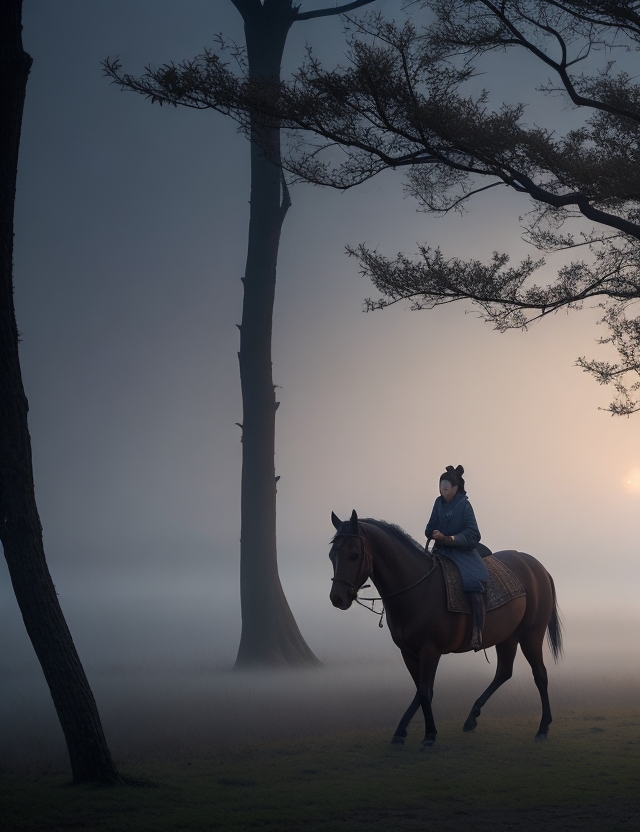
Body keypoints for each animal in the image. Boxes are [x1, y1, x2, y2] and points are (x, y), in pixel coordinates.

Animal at [328, 508, 564, 748]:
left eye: (354, 555)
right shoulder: (409, 652)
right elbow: (421, 690)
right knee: (504, 672)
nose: (337, 598)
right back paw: (472, 717)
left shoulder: (430, 650)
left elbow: (425, 691)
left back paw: (543, 727)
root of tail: (537, 567)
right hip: (508, 636)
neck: (418, 587)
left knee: (540, 675)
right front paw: (401, 731)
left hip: (531, 634)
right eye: (332, 555)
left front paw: (429, 735)